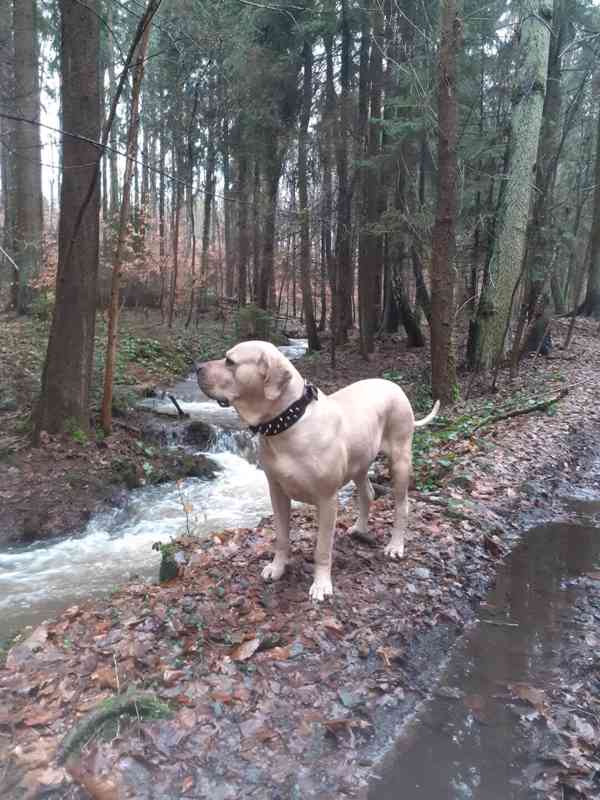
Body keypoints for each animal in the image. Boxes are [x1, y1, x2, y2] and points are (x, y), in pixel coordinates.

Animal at [199, 340, 438, 600]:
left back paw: (395, 545)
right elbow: (281, 537)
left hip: (400, 461)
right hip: (359, 464)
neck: (288, 423)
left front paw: (321, 584)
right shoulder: (277, 493)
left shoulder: (327, 500)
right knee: (367, 494)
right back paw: (360, 528)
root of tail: (394, 385)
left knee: (402, 505)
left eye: (230, 361)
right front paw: (278, 567)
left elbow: (322, 548)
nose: (197, 367)